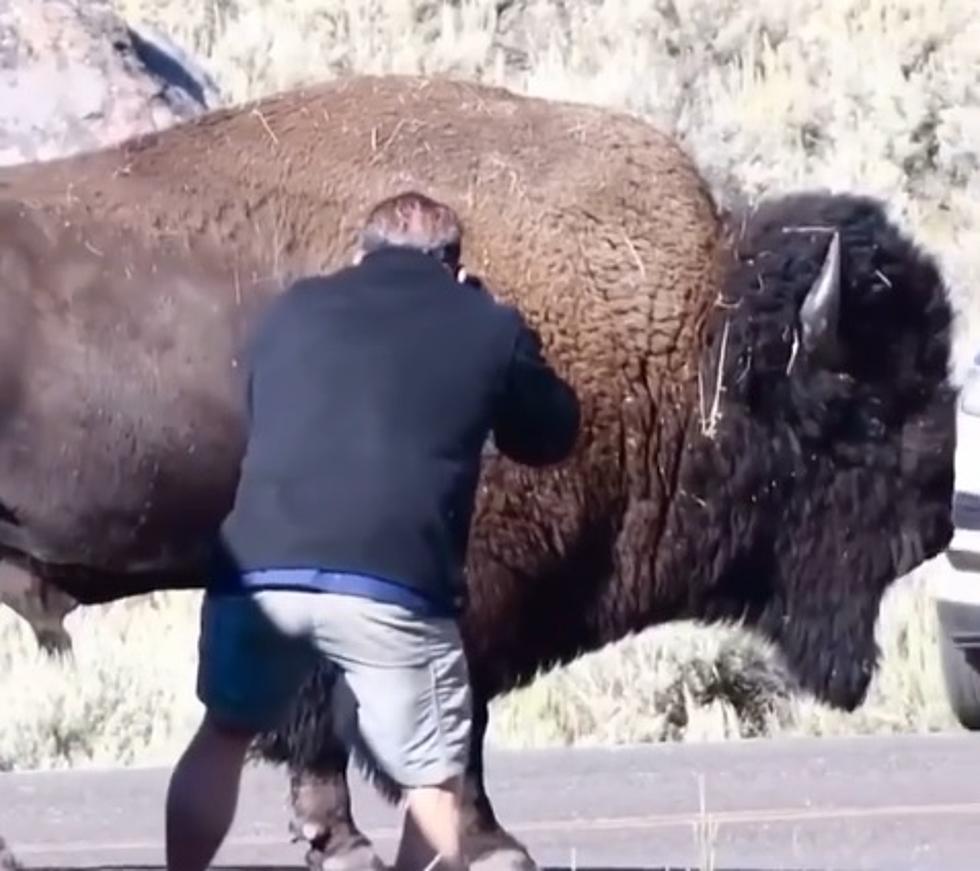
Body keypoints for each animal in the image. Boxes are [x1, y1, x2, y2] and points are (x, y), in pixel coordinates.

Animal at [0, 75, 956, 871]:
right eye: (869, 409)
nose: (938, 524)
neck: (692, 338)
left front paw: (343, 841)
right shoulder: (466, 589)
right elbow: (448, 726)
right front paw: (493, 846)